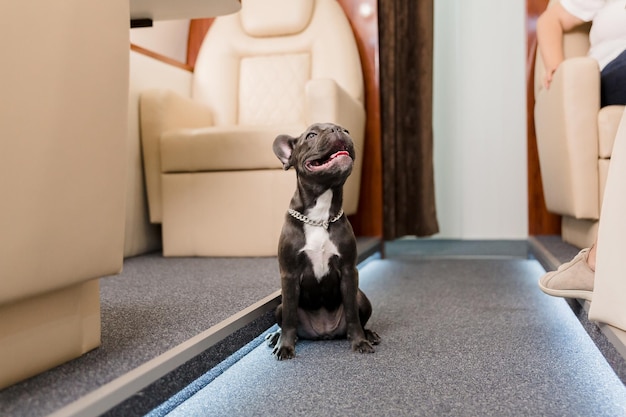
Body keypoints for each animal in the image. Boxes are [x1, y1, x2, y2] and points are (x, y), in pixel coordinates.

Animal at [264, 122, 378, 360]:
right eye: (311, 135)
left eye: (347, 130)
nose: (339, 130)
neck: (319, 215)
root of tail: (323, 333)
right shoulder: (289, 275)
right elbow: (289, 317)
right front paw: (285, 345)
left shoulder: (348, 272)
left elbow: (353, 315)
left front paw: (359, 342)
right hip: (278, 307)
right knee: (286, 318)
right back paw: (275, 337)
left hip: (363, 297)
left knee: (359, 315)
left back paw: (369, 334)